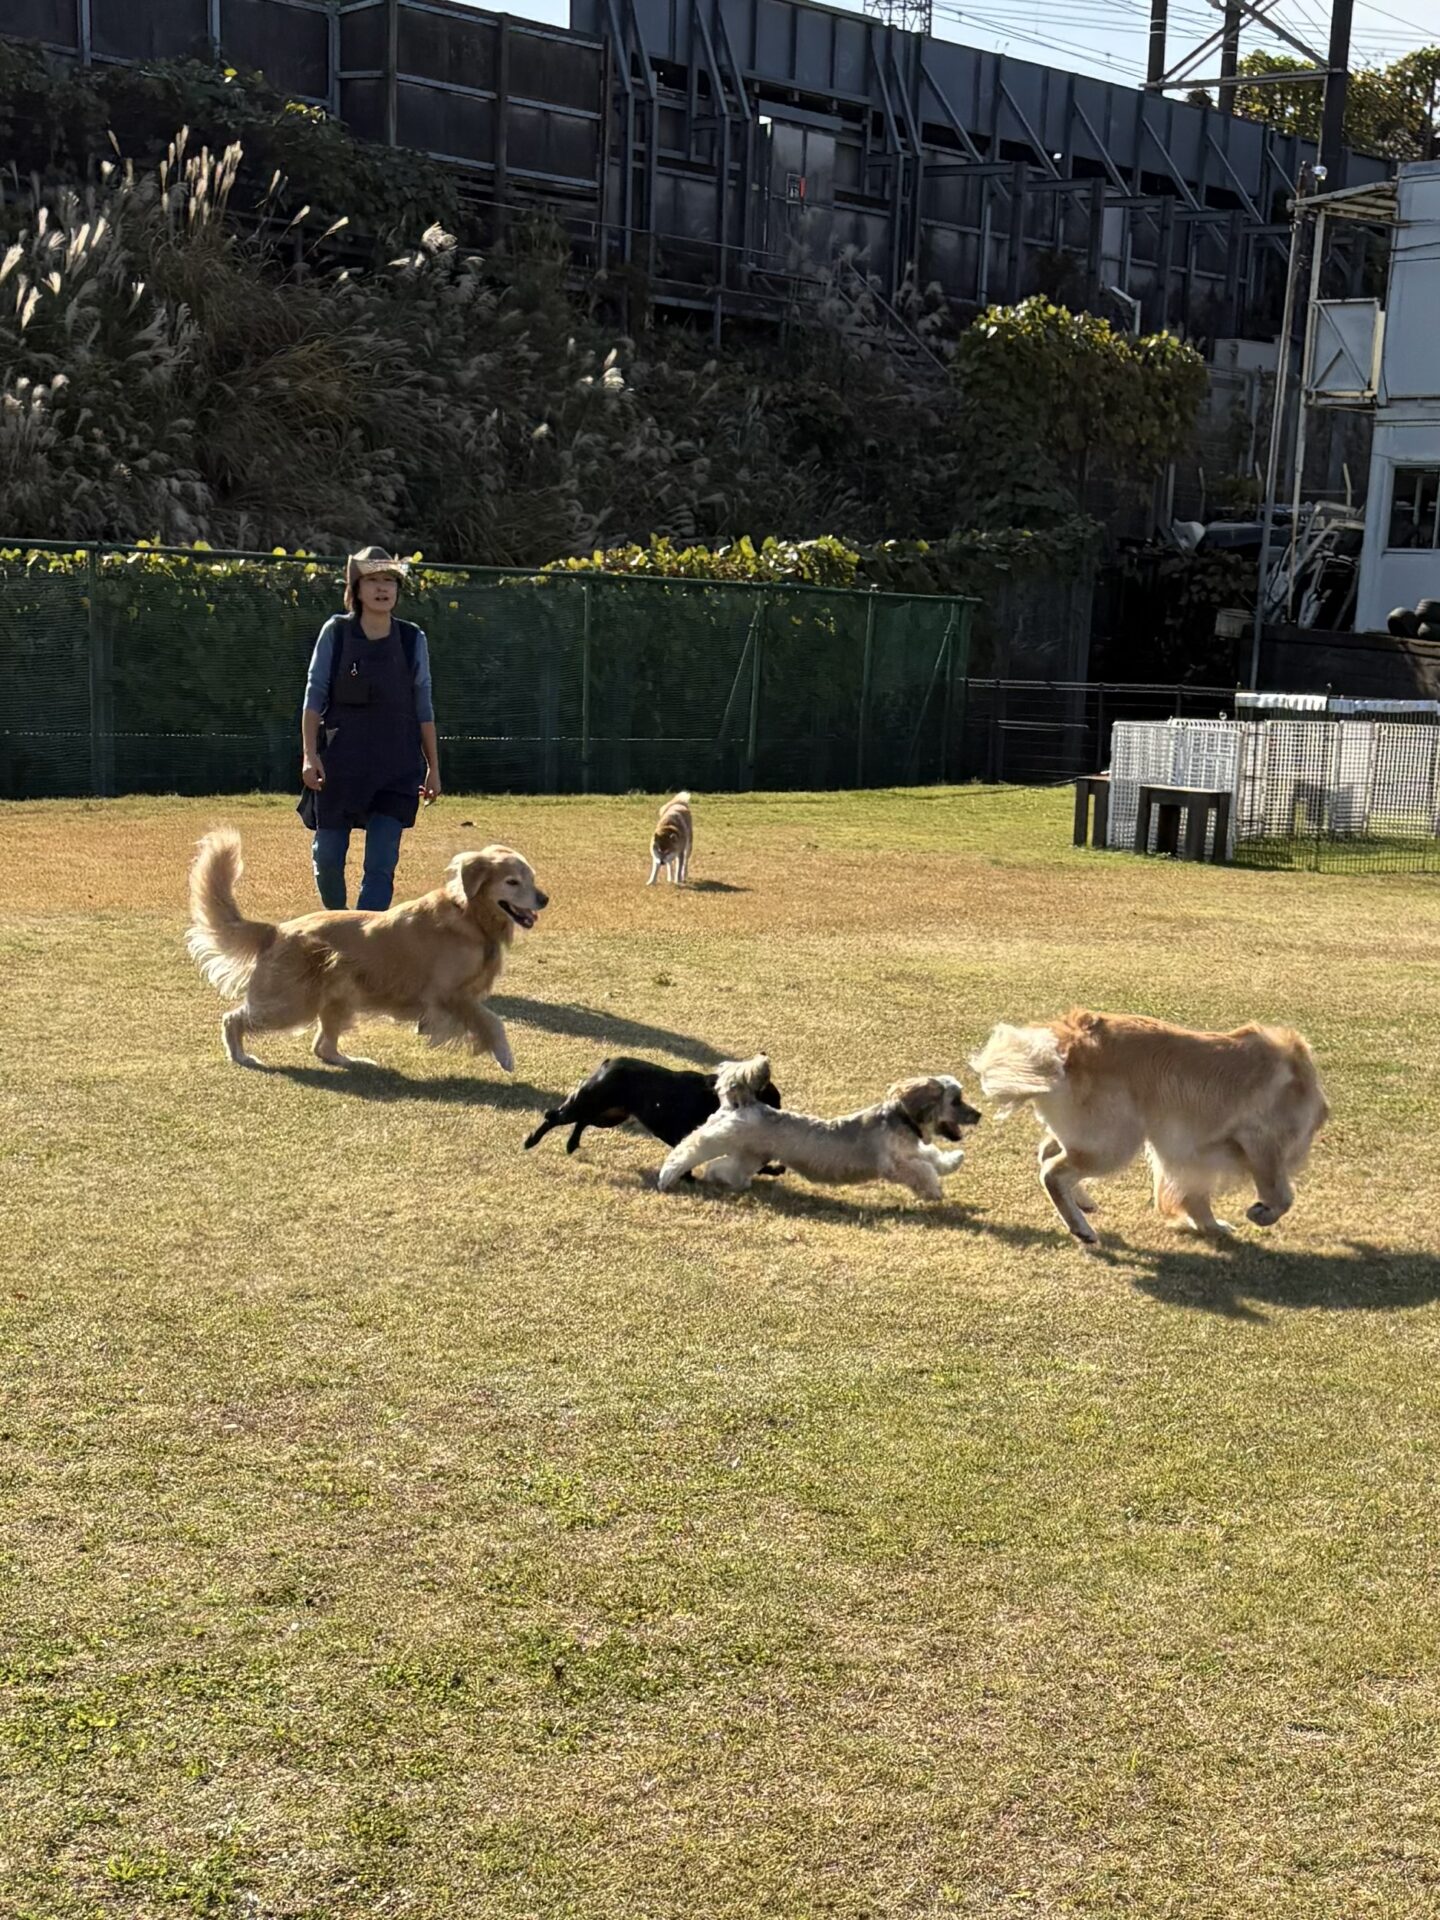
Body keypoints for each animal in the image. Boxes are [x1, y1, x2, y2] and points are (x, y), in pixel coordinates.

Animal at [186, 829, 547, 1070]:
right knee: (233, 1019)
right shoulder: (448, 994)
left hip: (337, 999)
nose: (544, 899)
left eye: (531, 877)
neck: (469, 914)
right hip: (290, 1004)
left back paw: (353, 1059)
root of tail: (276, 930)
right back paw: (240, 1055)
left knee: (323, 1047)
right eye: (512, 882)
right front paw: (505, 1056)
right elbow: (491, 1021)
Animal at [524, 1055, 784, 1180]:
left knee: (583, 1121)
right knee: (555, 1117)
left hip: (609, 1116)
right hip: (586, 1105)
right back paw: (531, 1141)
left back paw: (571, 1144)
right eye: (774, 1101)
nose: (780, 1114)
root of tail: (608, 1064)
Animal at [658, 1056, 980, 1198]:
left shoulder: (910, 1150)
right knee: (689, 1148)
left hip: (751, 1154)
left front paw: (953, 1161)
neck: (901, 1120)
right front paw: (934, 1190)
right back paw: (667, 1177)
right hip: (720, 1137)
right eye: (957, 1100)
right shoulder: (894, 1164)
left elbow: (932, 1158)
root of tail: (746, 1102)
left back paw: (725, 1181)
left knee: (724, 1168)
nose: (978, 1114)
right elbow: (923, 1170)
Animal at [969, 1009, 1329, 1245]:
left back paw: (1082, 1202)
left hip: (1094, 1134)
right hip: (1115, 1143)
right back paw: (1081, 1228)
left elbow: (1196, 1196)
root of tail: (1068, 1045)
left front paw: (1210, 1226)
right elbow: (1281, 1195)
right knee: (1053, 1173)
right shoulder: (1261, 1142)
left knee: (1048, 1152)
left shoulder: (1192, 1154)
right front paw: (1260, 1213)